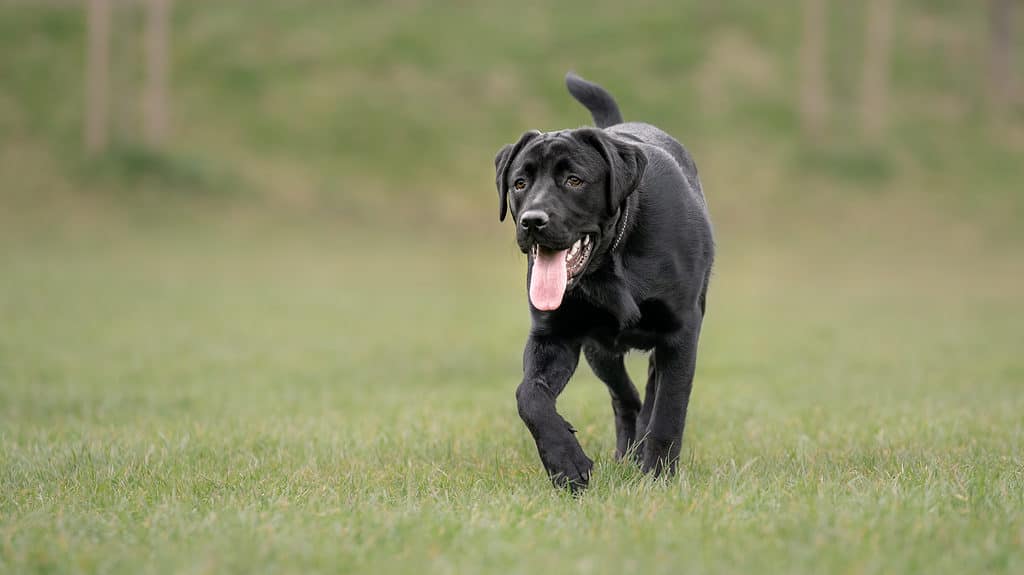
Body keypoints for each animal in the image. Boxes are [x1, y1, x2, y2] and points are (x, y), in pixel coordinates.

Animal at [493, 73, 712, 491]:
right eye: (520, 183)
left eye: (574, 180)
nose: (532, 221)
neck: (613, 263)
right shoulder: (554, 335)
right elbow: (529, 395)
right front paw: (566, 463)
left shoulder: (681, 331)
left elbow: (669, 411)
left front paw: (658, 475)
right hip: (601, 352)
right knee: (626, 399)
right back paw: (627, 453)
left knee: (651, 392)